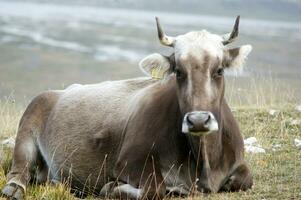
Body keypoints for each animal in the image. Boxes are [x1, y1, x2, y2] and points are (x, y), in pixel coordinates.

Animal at [1, 16, 252, 200]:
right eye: (178, 72)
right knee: (20, 168)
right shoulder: (130, 161)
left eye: (219, 70)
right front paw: (111, 188)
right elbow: (154, 189)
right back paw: (14, 189)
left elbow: (245, 180)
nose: (198, 120)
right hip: (29, 122)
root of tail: (58, 91)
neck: (204, 161)